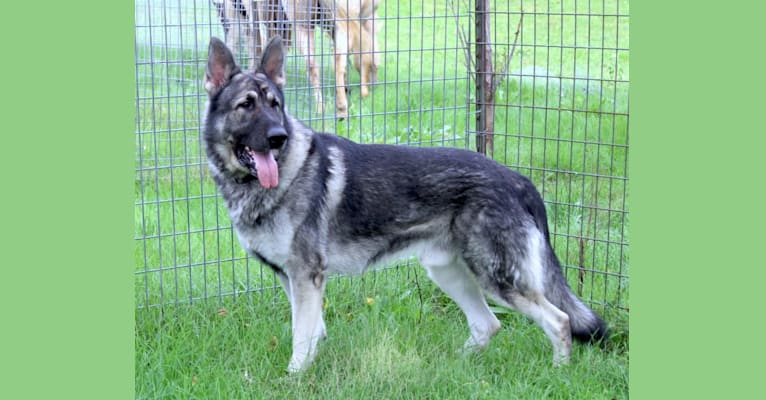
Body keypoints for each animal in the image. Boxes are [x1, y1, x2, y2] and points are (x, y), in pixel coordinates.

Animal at [202, 36, 608, 374]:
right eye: (246, 105)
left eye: (275, 105)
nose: (278, 137)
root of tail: (517, 179)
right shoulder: (293, 280)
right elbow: (313, 332)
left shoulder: (305, 278)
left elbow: (302, 336)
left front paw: (294, 378)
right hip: (448, 273)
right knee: (488, 324)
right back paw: (451, 366)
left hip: (497, 279)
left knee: (559, 321)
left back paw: (559, 372)